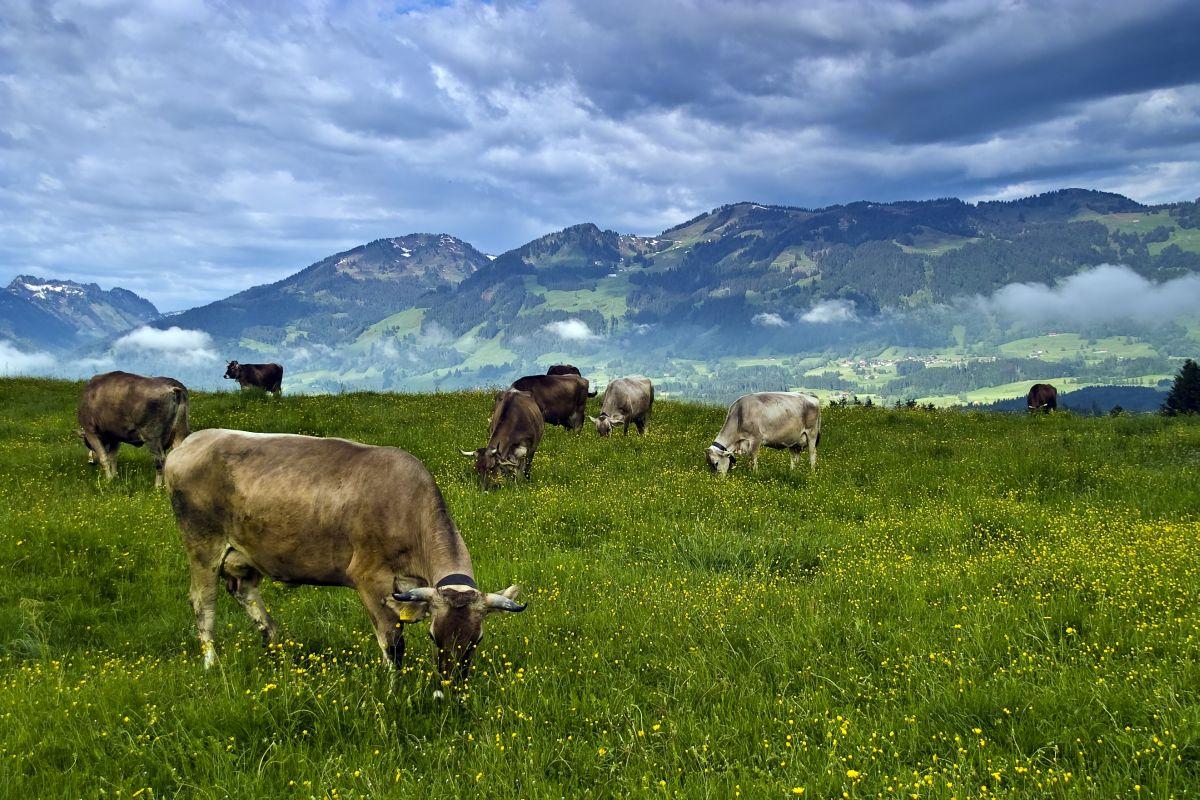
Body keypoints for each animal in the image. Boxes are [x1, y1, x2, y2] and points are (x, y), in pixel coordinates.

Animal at [164, 429, 525, 690]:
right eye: (435, 637)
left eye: (477, 640)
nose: (451, 690)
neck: (406, 507)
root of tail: (191, 441)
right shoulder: (371, 580)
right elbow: (393, 644)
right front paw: (394, 690)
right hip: (202, 544)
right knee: (203, 602)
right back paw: (211, 662)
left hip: (245, 555)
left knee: (245, 592)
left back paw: (275, 646)